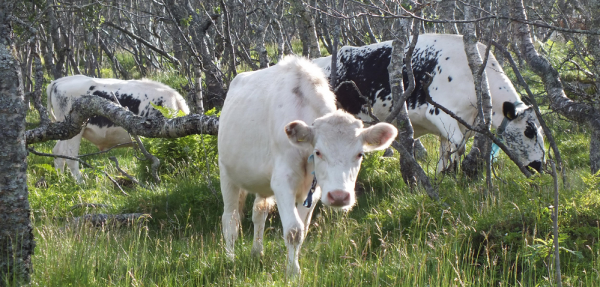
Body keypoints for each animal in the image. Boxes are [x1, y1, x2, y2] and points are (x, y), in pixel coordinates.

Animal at [47, 75, 190, 181]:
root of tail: (58, 81)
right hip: (75, 128)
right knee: (70, 157)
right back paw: (81, 183)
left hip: (65, 130)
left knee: (58, 153)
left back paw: (61, 180)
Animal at [218, 55, 396, 276]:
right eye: (318, 152)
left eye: (360, 154)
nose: (339, 196)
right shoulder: (283, 182)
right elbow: (294, 230)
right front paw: (293, 273)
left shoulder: (315, 188)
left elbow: (302, 228)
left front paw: (292, 266)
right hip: (226, 175)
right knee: (230, 220)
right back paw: (230, 258)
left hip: (263, 184)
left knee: (259, 213)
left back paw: (257, 252)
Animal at [312, 33, 548, 173]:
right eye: (529, 131)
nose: (540, 165)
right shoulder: (441, 114)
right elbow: (458, 147)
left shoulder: (454, 126)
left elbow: (446, 152)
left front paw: (444, 176)